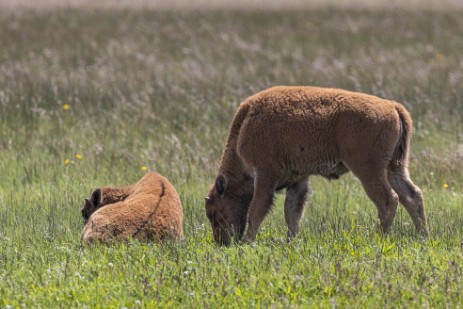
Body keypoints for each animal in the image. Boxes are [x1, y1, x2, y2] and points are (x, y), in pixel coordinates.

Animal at [205, 85, 430, 244]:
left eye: (214, 213)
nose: (222, 242)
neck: (245, 125)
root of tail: (393, 106)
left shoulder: (265, 175)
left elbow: (257, 210)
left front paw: (247, 242)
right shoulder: (298, 179)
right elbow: (292, 212)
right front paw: (290, 241)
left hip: (368, 169)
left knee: (388, 199)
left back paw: (380, 238)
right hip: (395, 167)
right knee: (412, 196)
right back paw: (423, 237)